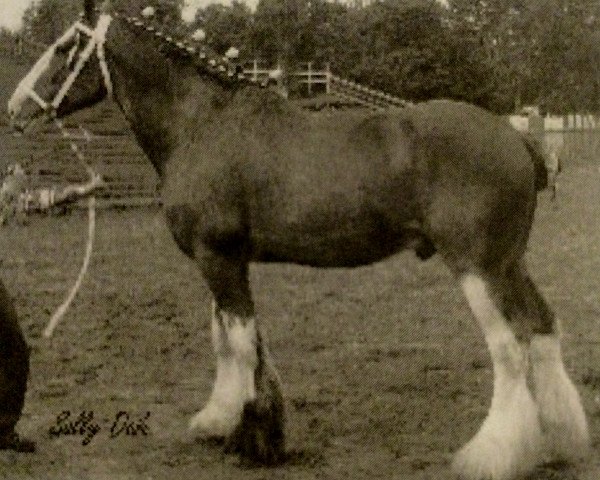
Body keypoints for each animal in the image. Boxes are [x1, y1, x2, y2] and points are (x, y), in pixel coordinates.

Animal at [8, 1, 592, 478]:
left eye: (65, 47)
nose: (15, 108)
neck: (203, 125)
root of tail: (515, 137)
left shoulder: (216, 257)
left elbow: (238, 344)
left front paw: (246, 432)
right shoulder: (226, 260)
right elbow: (233, 340)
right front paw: (227, 422)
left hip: (478, 267)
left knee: (509, 348)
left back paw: (489, 456)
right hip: (510, 263)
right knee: (542, 330)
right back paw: (562, 440)